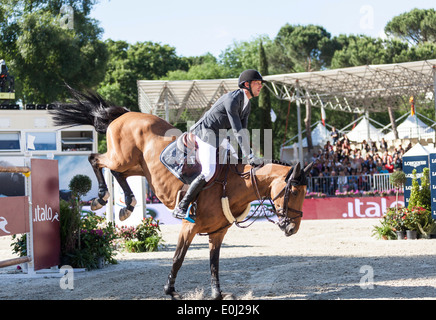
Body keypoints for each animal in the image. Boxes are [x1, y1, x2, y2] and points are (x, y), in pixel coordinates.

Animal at [50, 87, 310, 300]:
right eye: (294, 190)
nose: (292, 228)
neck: (235, 184)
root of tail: (125, 114)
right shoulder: (189, 226)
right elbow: (178, 258)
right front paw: (170, 290)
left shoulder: (218, 232)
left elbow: (214, 264)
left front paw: (217, 293)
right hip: (122, 156)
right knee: (96, 159)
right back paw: (101, 197)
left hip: (136, 165)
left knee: (116, 172)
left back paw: (128, 205)